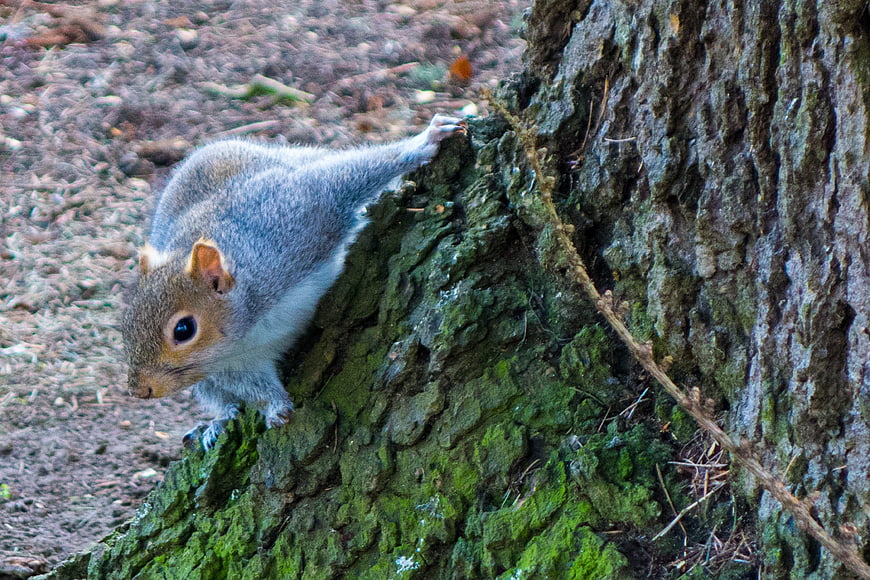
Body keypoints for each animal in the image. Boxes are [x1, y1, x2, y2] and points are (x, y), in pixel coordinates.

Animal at [122, 114, 467, 449]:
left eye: (183, 330)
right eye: (126, 325)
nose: (140, 390)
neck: (250, 328)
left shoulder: (297, 218)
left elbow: (344, 179)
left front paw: (423, 142)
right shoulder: (234, 364)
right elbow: (253, 386)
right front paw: (275, 407)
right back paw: (218, 421)